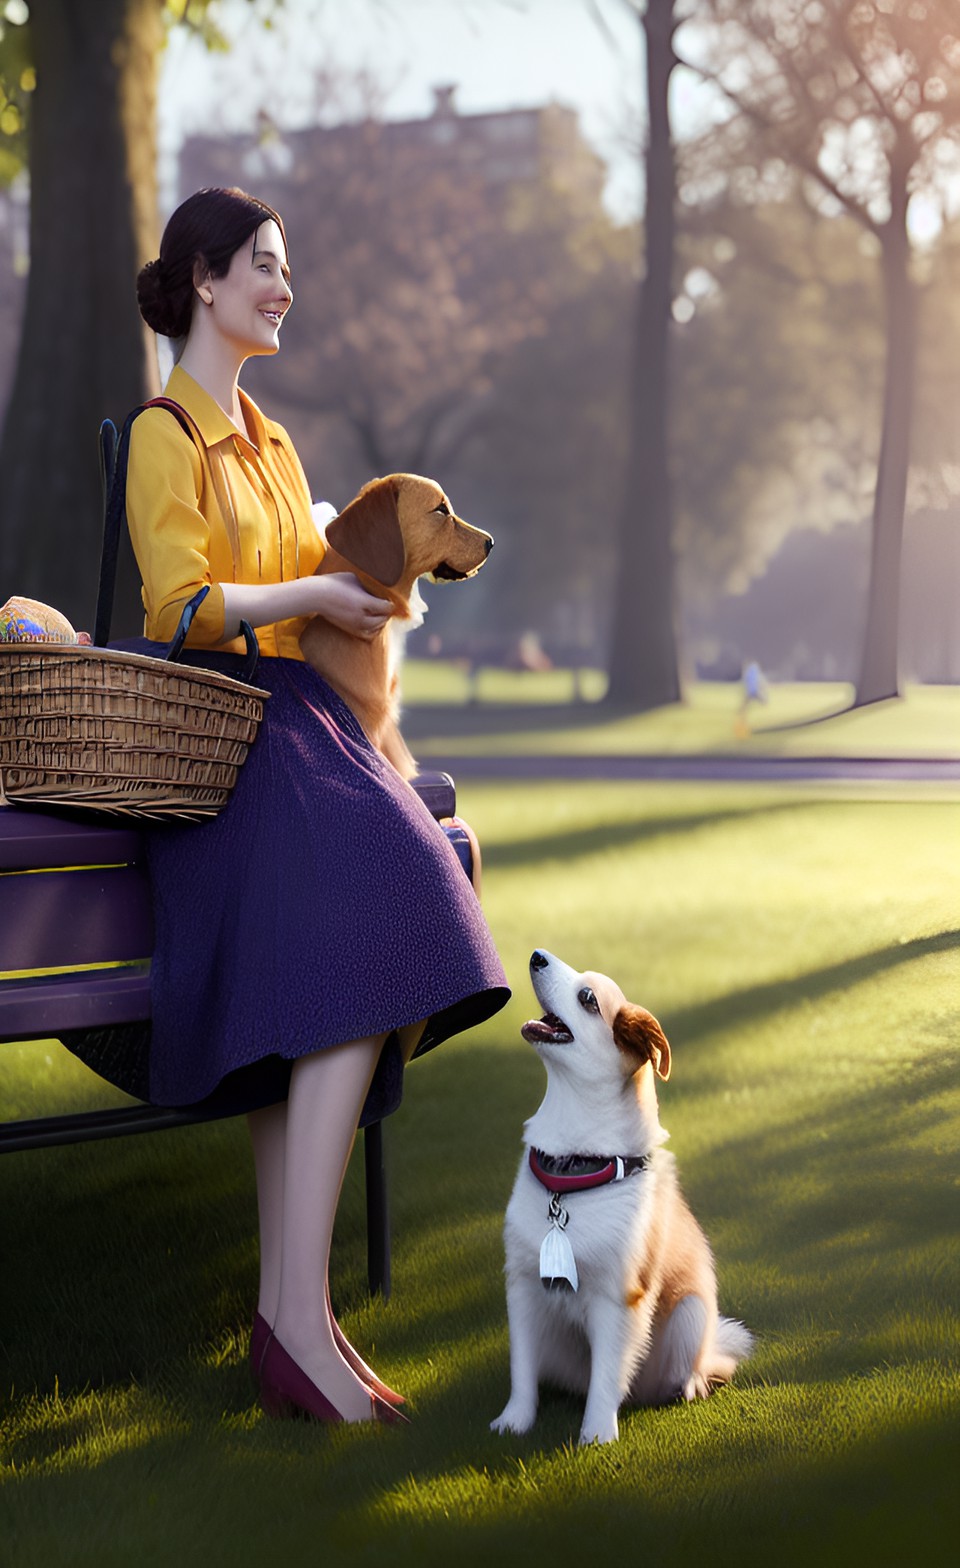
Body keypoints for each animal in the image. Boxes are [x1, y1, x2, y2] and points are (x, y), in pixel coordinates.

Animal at [492, 940, 752, 1442]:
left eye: (588, 998)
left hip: (692, 1313)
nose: (536, 955)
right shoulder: (523, 1287)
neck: (572, 1170)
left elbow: (606, 1376)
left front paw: (596, 1435)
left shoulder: (617, 1299)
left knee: (702, 1363)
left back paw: (690, 1385)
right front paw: (515, 1420)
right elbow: (521, 1369)